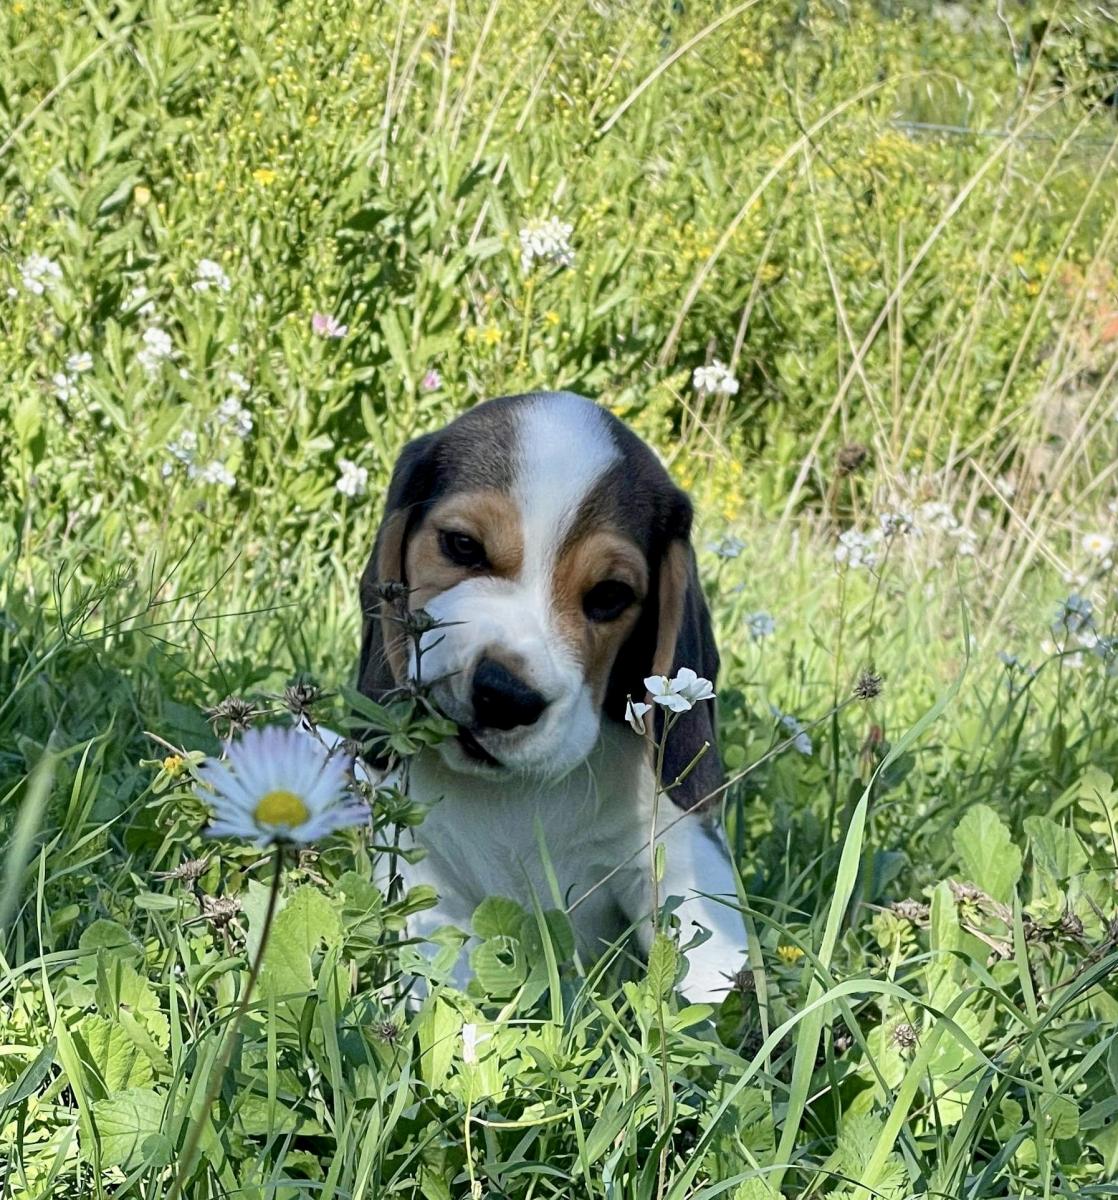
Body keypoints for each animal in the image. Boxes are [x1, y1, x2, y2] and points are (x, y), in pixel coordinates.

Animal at [357, 391, 743, 1003]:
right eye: (462, 546)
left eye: (609, 595)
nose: (504, 696)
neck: (514, 795)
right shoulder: (425, 874)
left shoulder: (683, 855)